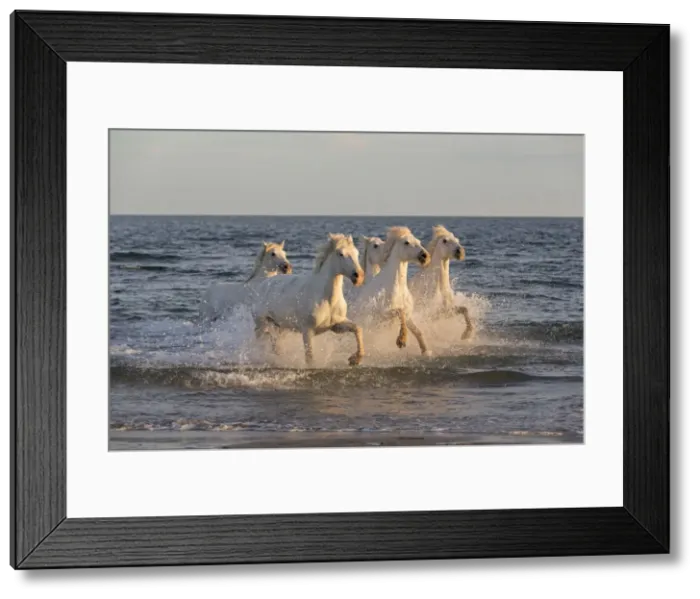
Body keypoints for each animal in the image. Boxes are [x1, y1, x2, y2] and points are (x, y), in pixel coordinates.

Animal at [247, 233, 366, 367]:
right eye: (340, 254)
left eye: (356, 253)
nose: (359, 276)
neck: (327, 299)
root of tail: (264, 282)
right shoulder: (307, 331)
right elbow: (310, 358)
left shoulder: (337, 325)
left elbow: (357, 328)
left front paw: (355, 359)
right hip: (262, 324)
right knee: (263, 338)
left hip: (280, 326)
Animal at [348, 226, 432, 355]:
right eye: (406, 242)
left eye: (418, 241)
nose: (425, 256)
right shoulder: (385, 314)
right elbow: (400, 312)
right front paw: (401, 341)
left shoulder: (408, 314)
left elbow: (417, 331)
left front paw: (426, 350)